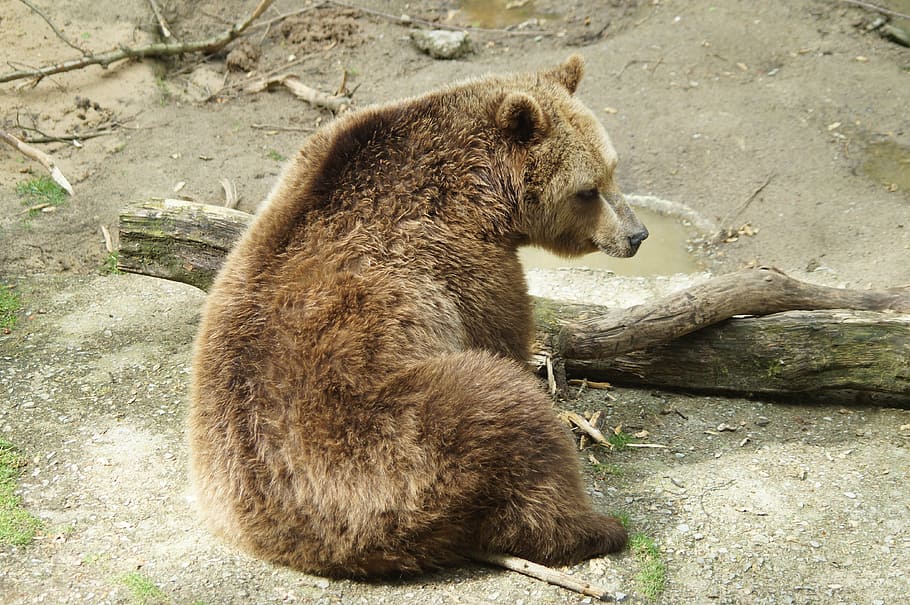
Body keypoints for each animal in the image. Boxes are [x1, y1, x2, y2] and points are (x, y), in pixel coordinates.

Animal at [188, 55, 648, 578]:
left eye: (613, 170)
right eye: (587, 191)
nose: (637, 235)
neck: (484, 192)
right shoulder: (460, 261)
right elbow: (501, 331)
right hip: (391, 439)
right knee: (510, 415)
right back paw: (599, 526)